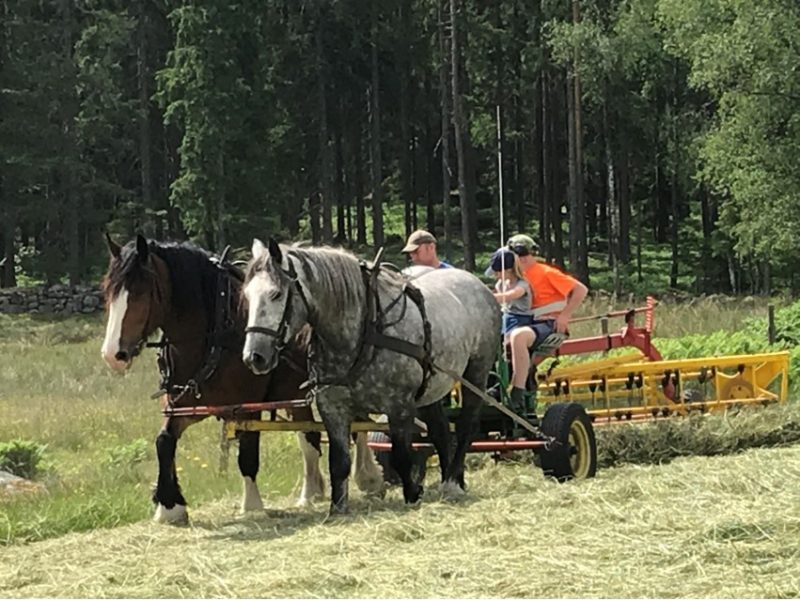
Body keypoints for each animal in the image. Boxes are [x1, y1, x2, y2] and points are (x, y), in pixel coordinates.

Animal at [98, 234, 382, 524]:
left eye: (140, 293)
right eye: (108, 291)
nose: (112, 355)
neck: (216, 333)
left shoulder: (249, 406)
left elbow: (247, 454)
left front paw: (253, 504)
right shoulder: (186, 405)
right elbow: (164, 441)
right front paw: (169, 506)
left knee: (358, 424)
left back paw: (367, 477)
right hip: (297, 392)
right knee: (310, 436)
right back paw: (311, 492)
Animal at [241, 241, 500, 512]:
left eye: (276, 294)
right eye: (247, 295)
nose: (254, 357)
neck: (363, 333)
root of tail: (476, 282)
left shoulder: (399, 406)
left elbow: (402, 457)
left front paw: (412, 495)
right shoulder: (332, 408)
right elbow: (339, 462)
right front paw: (337, 508)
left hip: (477, 372)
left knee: (465, 426)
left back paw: (452, 483)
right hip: (432, 386)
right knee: (440, 431)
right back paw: (452, 478)